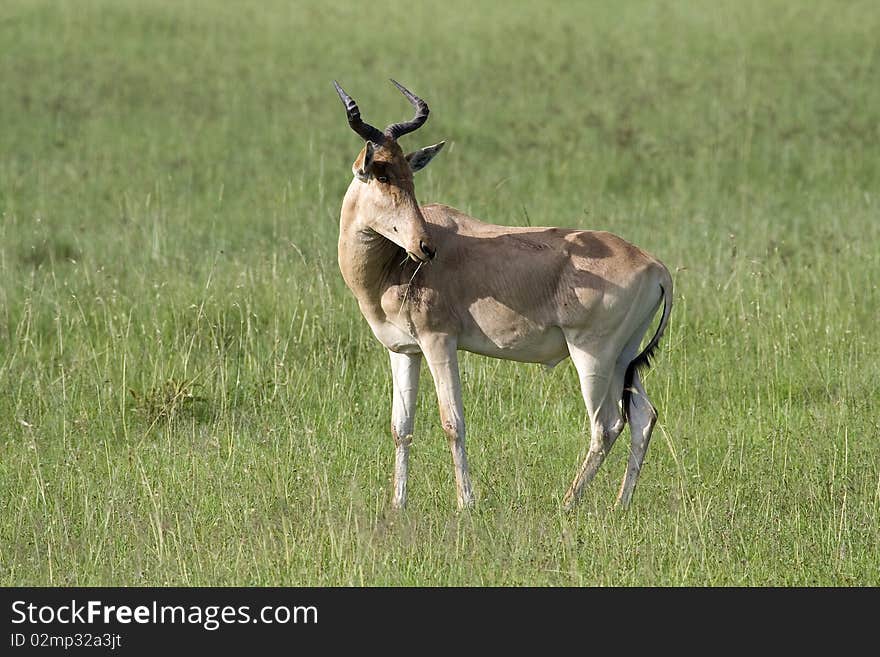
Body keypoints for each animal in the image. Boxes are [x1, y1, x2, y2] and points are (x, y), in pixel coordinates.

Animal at [334, 82, 672, 510]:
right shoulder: (404, 351)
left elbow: (452, 422)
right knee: (643, 416)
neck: (394, 263)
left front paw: (466, 503)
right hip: (624, 357)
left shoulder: (439, 341)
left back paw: (567, 504)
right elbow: (401, 427)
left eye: (408, 175)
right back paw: (619, 504)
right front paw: (398, 505)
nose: (425, 247)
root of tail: (655, 265)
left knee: (607, 424)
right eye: (381, 174)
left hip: (593, 354)